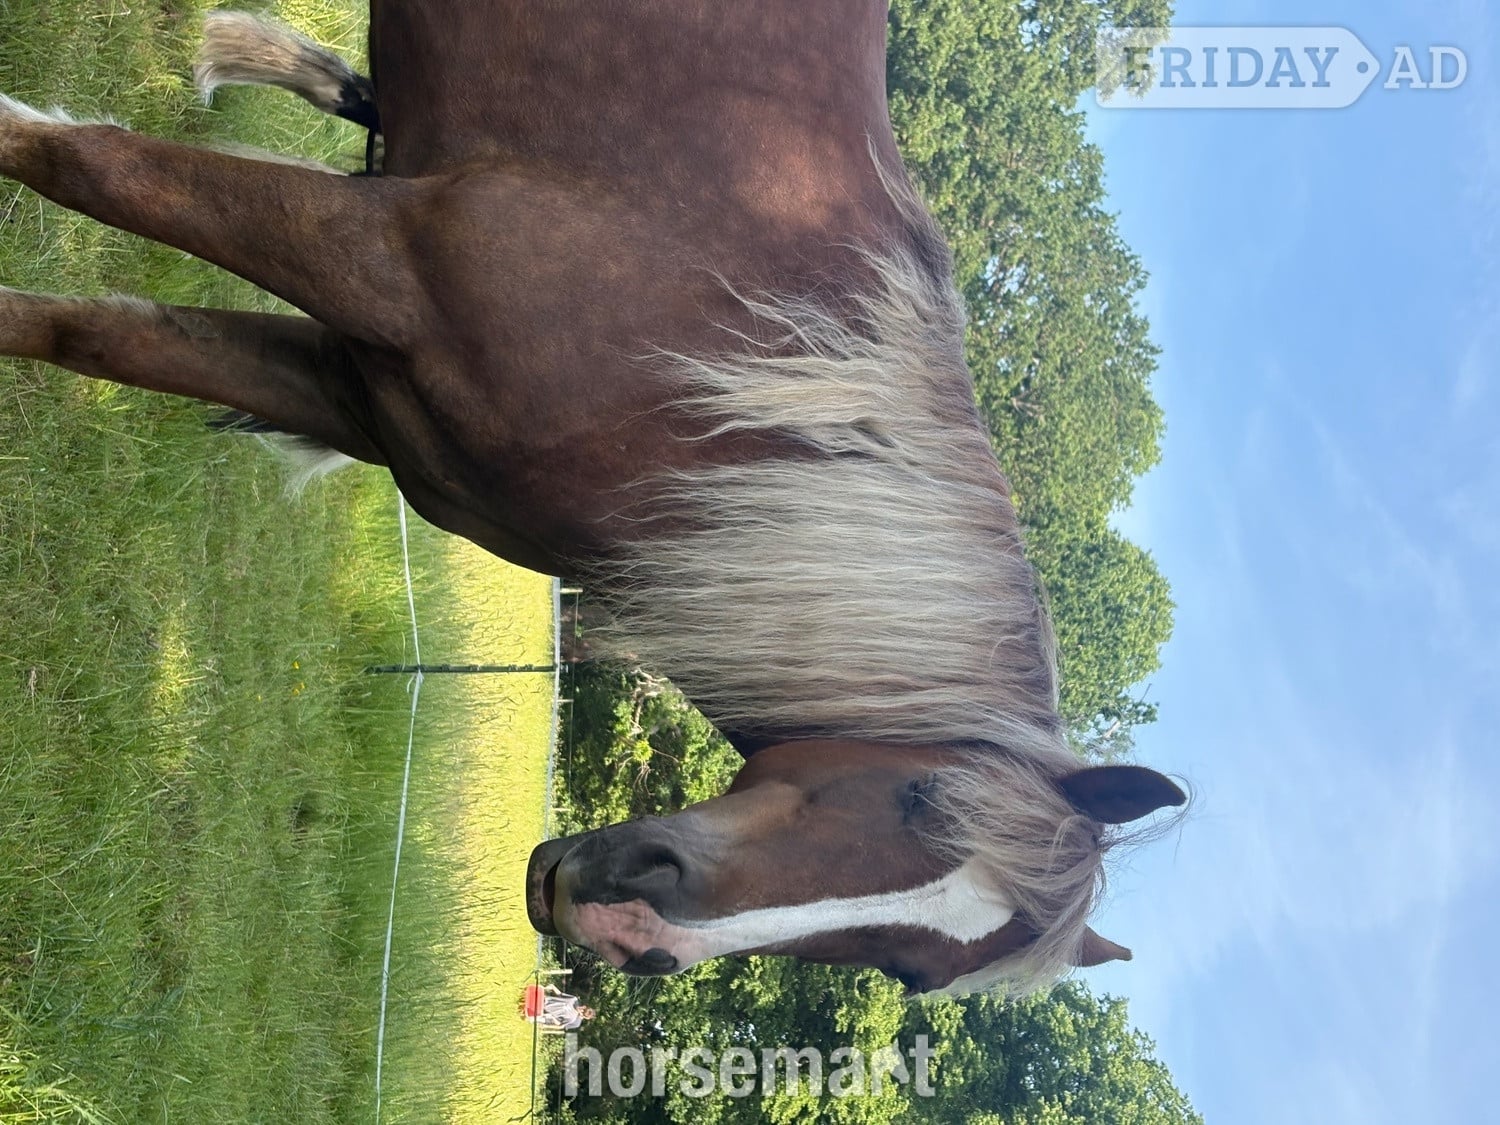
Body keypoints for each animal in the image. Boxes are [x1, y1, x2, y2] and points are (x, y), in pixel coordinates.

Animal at [0, 4, 1185, 998]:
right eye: (921, 800)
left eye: (908, 972)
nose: (626, 931)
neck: (713, 401)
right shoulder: (371, 253)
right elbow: (77, 161)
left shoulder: (349, 390)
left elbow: (88, 334)